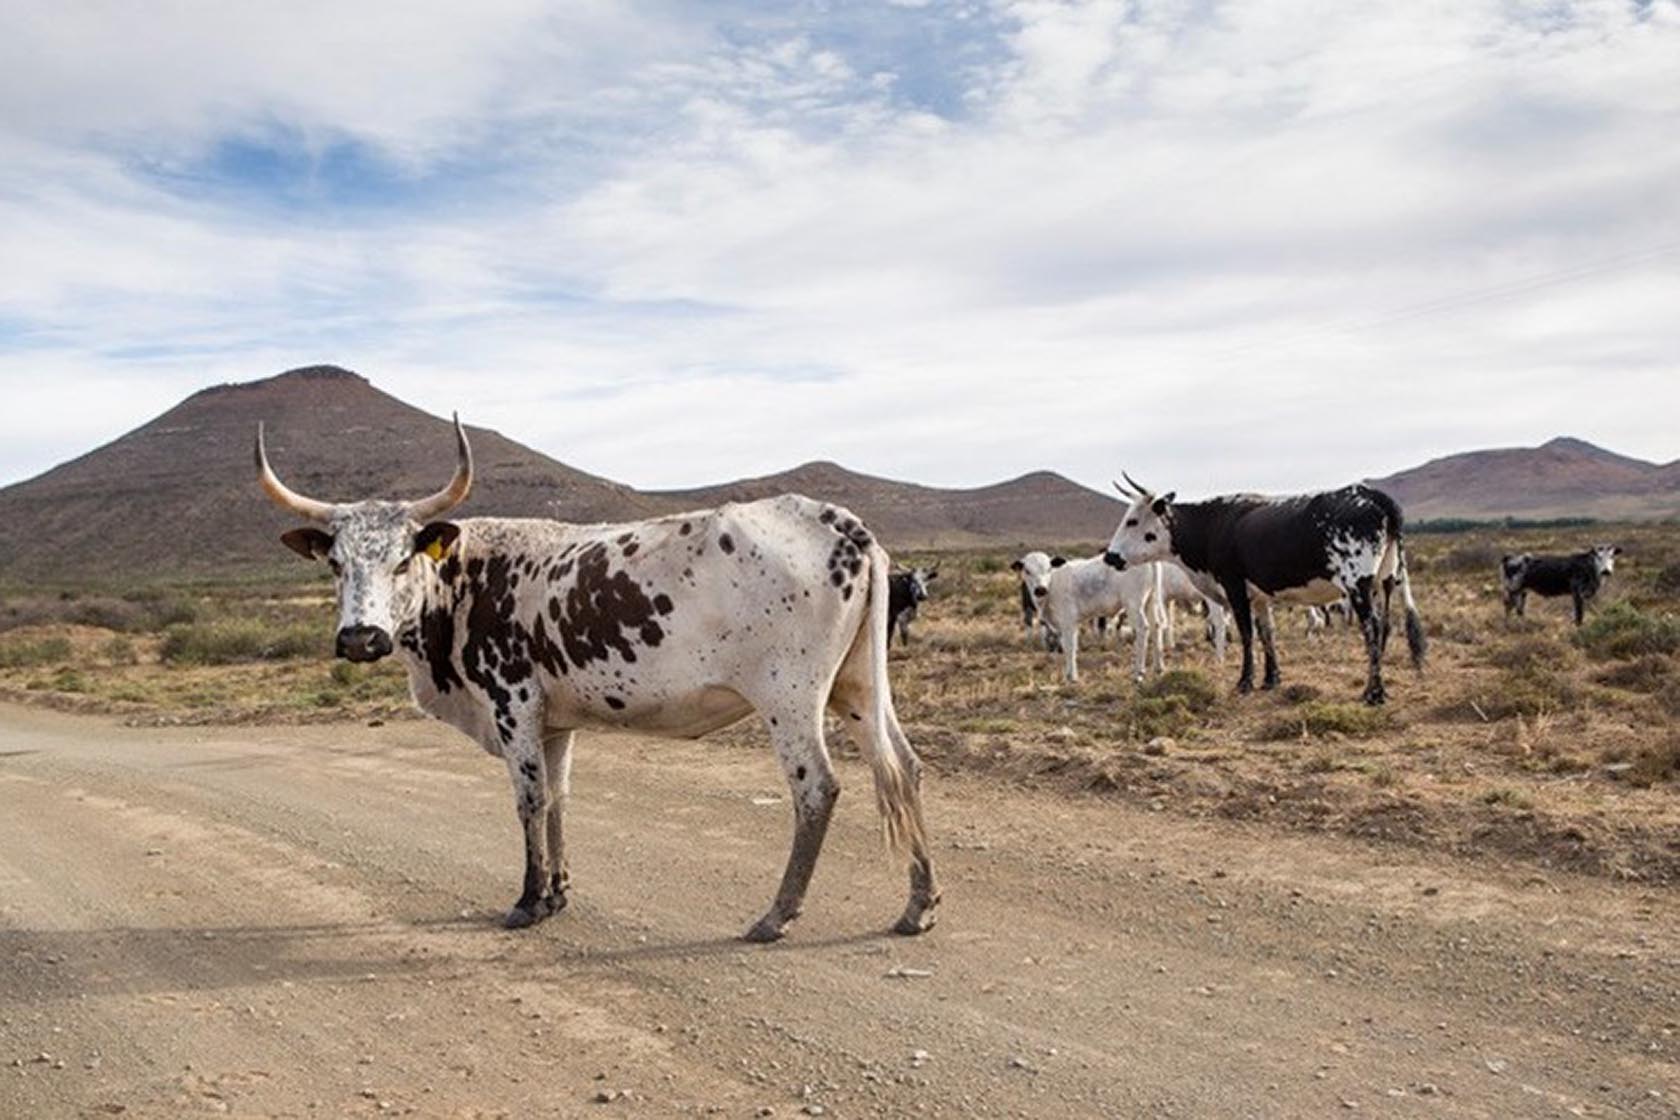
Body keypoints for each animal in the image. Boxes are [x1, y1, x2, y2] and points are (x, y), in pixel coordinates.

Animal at [255, 418, 938, 943]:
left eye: (402, 560)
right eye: (336, 562)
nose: (360, 638)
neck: (466, 581)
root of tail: (838, 521)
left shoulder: (514, 706)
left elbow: (530, 799)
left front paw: (528, 900)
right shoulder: (556, 724)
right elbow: (558, 798)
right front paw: (557, 893)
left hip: (789, 697)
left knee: (817, 788)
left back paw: (777, 915)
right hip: (859, 688)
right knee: (901, 768)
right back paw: (919, 906)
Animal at [1038, 555, 1166, 683]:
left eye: (1048, 569)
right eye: (1031, 572)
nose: (1039, 589)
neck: (1053, 582)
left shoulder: (1069, 620)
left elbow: (1070, 647)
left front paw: (1072, 677)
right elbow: (1066, 646)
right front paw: (1068, 675)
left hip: (1134, 604)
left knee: (1142, 628)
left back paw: (1138, 673)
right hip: (1151, 601)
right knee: (1156, 626)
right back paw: (1158, 668)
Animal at [1103, 474, 1425, 705]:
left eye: (1132, 520)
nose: (1110, 556)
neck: (1212, 524)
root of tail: (1371, 495)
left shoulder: (1234, 587)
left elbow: (1247, 634)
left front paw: (1245, 681)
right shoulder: (1258, 597)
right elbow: (1267, 632)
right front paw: (1271, 679)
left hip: (1358, 583)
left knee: (1371, 627)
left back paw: (1374, 692)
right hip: (1386, 580)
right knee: (1385, 625)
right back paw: (1376, 685)